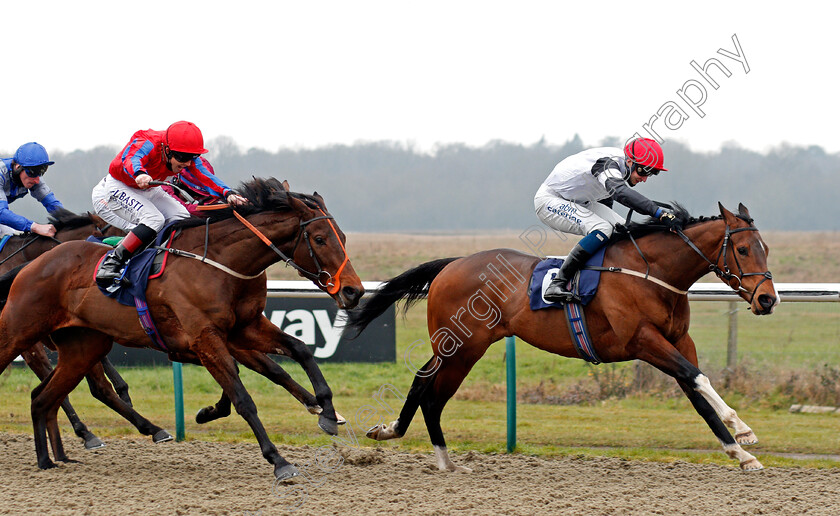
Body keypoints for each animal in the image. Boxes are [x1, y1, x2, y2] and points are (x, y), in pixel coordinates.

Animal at [0, 178, 360, 480]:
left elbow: (297, 352)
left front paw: (328, 412)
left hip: (83, 348)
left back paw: (49, 460)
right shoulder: (206, 338)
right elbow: (242, 397)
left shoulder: (245, 328)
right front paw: (279, 461)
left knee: (44, 398)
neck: (220, 263)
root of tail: (30, 266)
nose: (353, 291)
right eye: (319, 239)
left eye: (343, 238)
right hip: (20, 332)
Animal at [344, 202, 776, 472]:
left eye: (766, 248)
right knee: (432, 395)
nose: (768, 299)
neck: (651, 272)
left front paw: (740, 454)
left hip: (456, 347)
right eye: (742, 249)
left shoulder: (678, 341)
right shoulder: (642, 341)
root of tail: (453, 264)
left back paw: (396, 434)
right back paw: (445, 461)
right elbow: (698, 378)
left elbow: (698, 391)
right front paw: (744, 429)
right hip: (463, 348)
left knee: (422, 381)